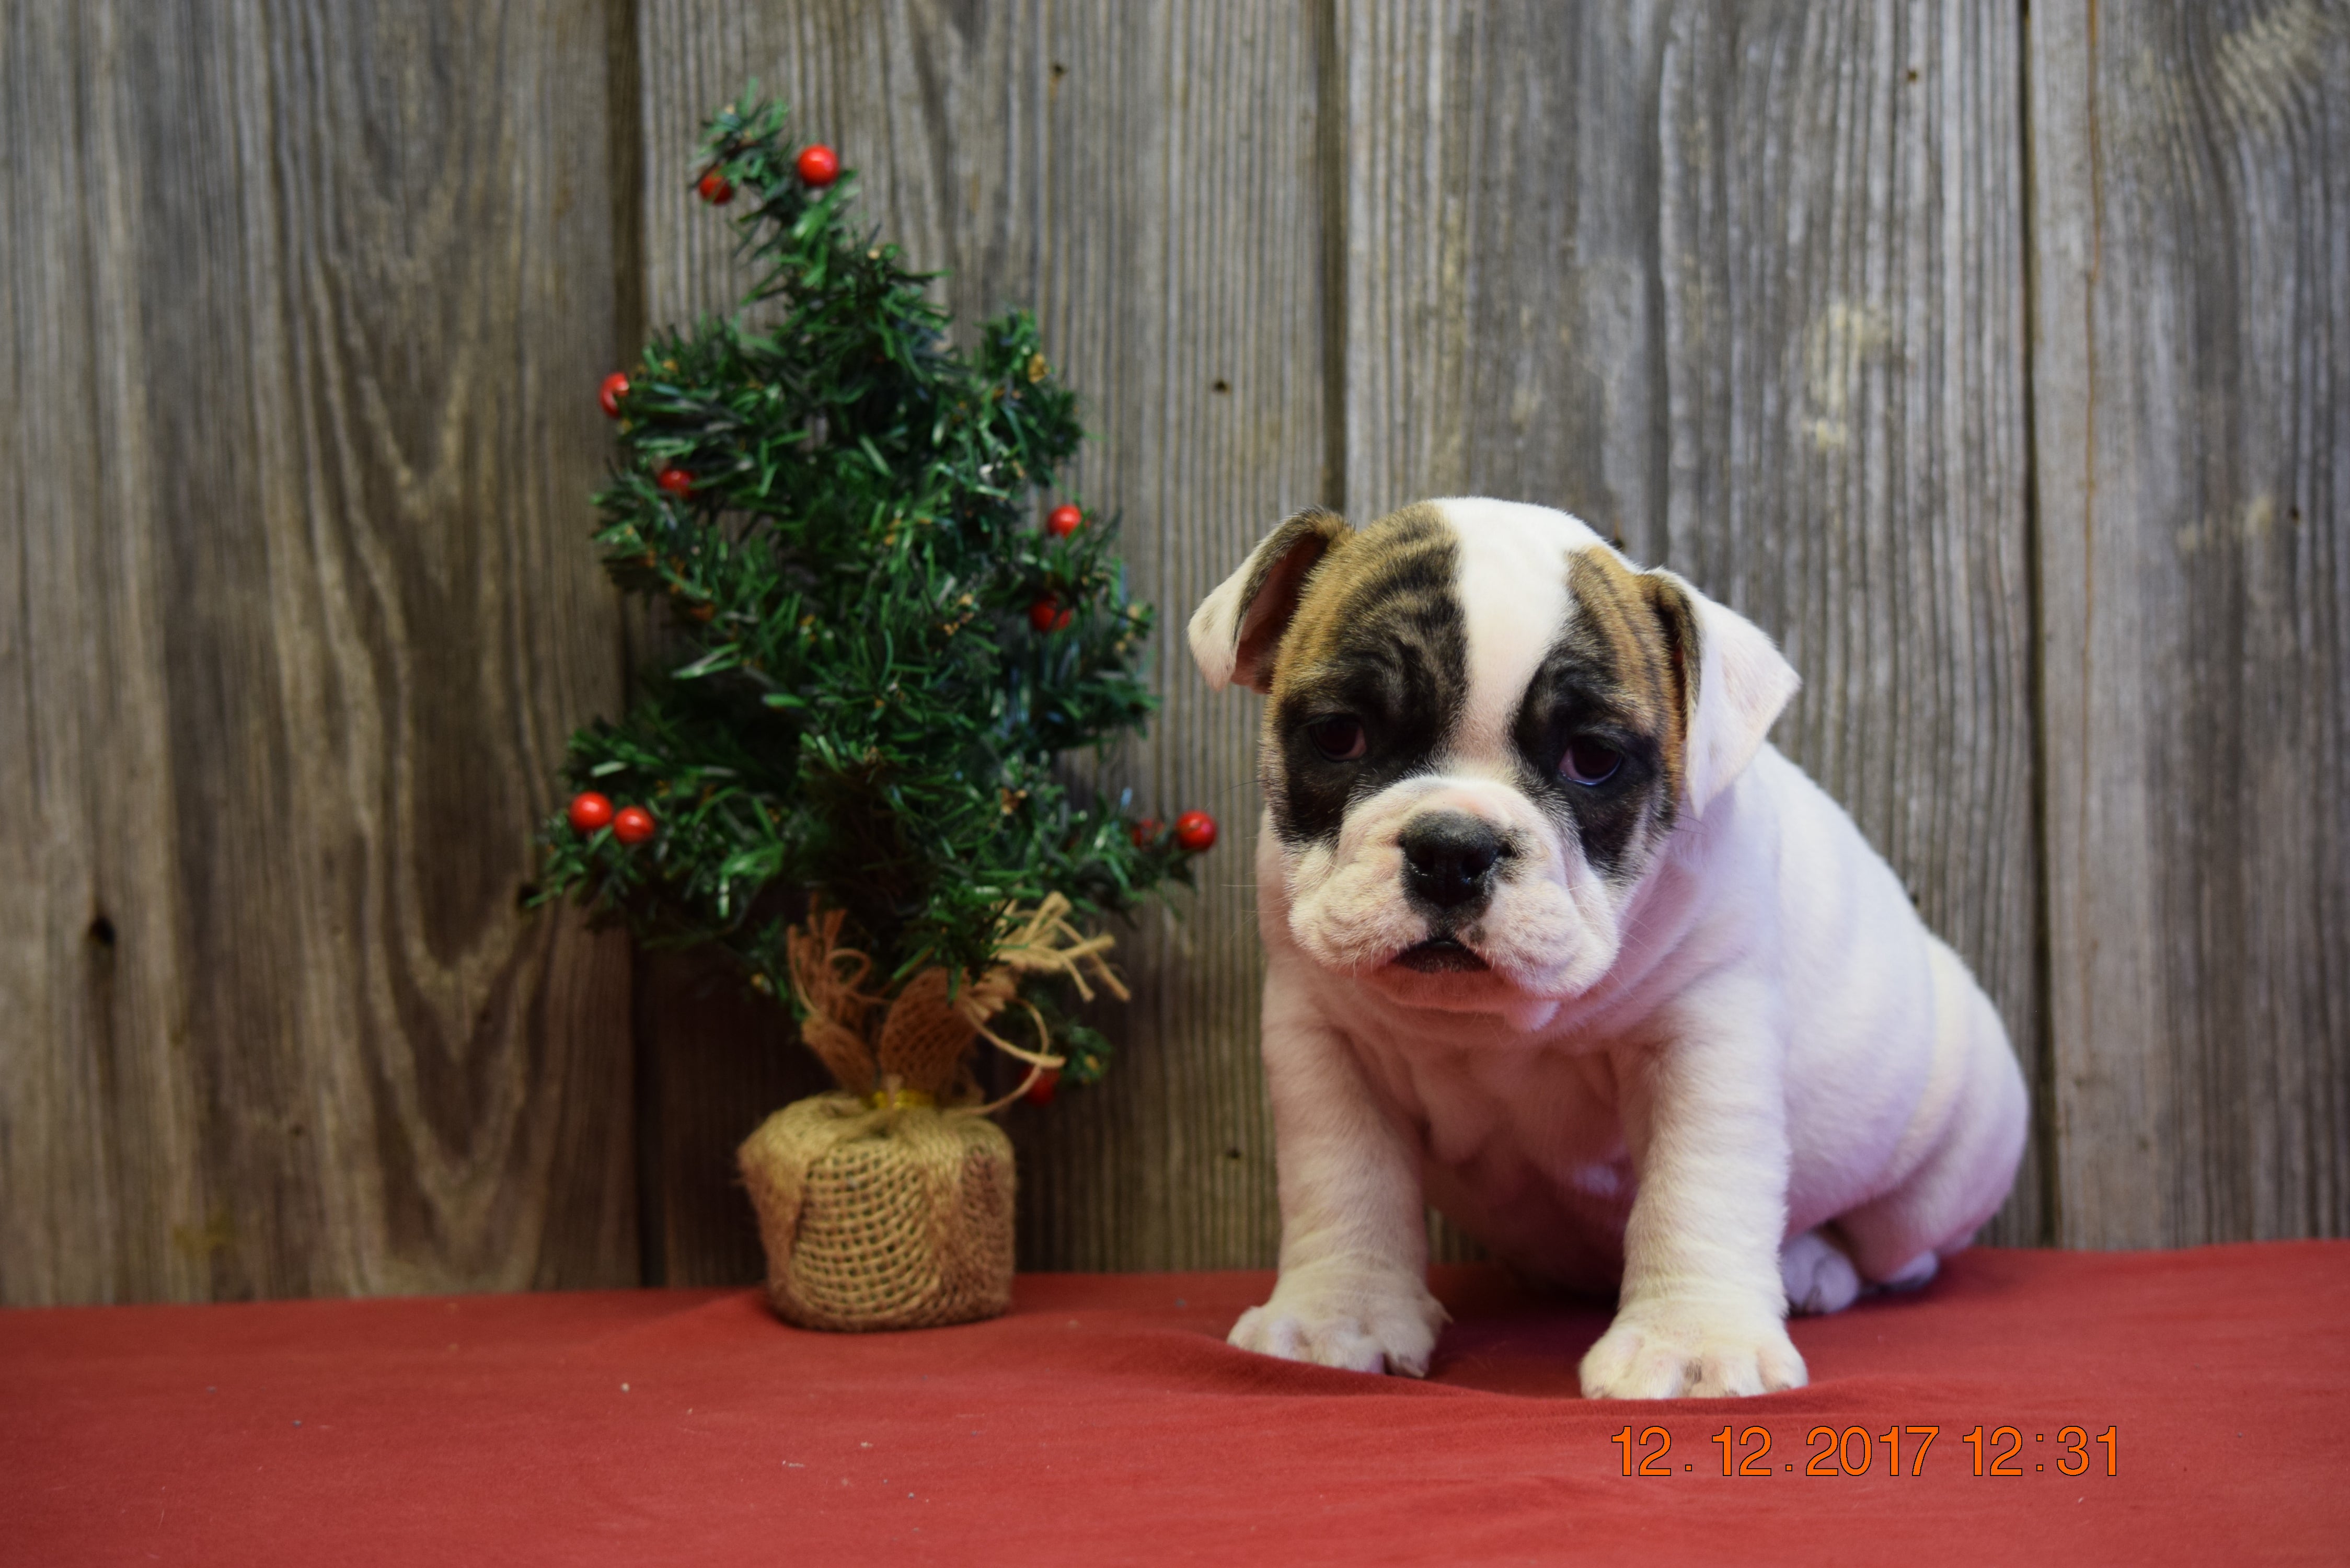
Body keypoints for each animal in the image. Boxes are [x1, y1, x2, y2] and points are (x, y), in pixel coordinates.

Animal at [1184, 501, 2030, 1401]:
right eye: (1340, 736)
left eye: (1592, 759)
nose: (1452, 848)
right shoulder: (1326, 1044)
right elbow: (1345, 1182)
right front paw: (1337, 1319)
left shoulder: (1703, 1039)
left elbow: (1699, 1188)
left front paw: (1693, 1345)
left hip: (1948, 1161)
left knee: (1897, 1253)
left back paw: (1812, 1266)